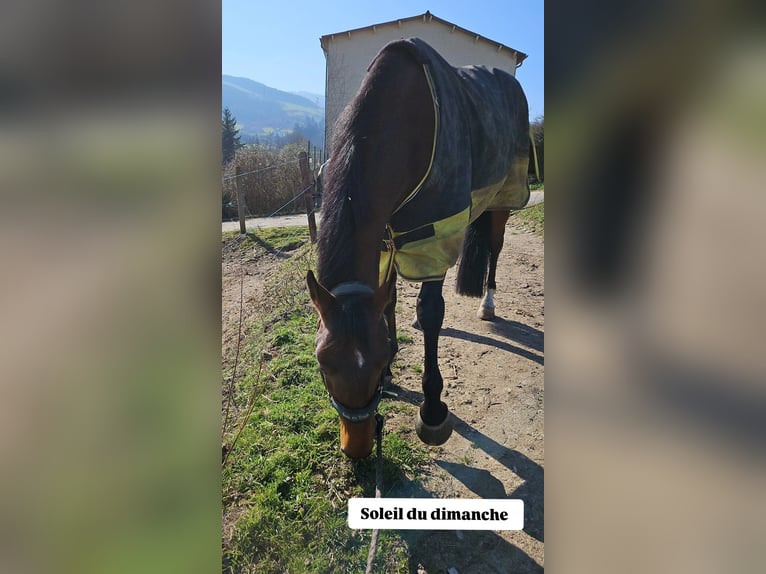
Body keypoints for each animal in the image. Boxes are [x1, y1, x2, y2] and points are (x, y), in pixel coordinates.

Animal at [307, 38, 531, 458]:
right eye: (323, 364)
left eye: (374, 362)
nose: (358, 447)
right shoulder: (384, 239)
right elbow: (388, 298)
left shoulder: (435, 235)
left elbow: (430, 312)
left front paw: (432, 410)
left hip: (503, 199)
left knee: (494, 249)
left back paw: (488, 303)